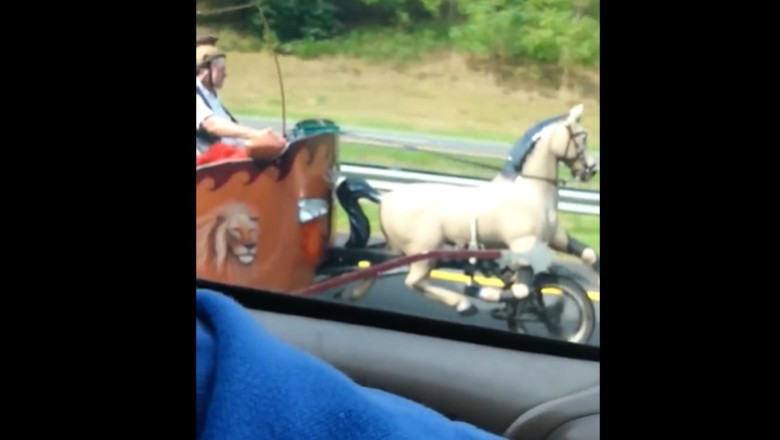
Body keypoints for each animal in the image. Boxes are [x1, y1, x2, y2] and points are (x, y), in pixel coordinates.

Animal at [344, 104, 596, 316]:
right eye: (582, 136)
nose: (592, 169)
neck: (530, 191)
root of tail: (385, 197)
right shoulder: (523, 243)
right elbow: (522, 290)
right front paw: (490, 295)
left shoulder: (554, 237)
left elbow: (588, 253)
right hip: (425, 250)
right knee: (414, 281)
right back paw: (464, 304)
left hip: (397, 247)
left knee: (376, 268)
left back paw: (353, 294)